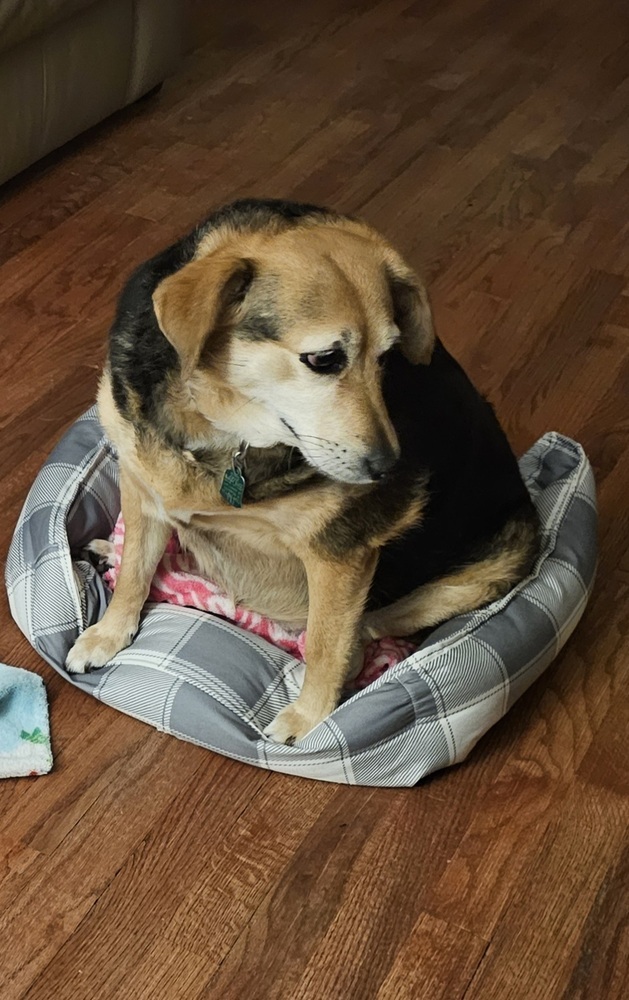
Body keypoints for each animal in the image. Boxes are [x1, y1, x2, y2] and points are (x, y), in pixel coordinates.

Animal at [67, 197, 540, 744]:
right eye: (325, 359)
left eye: (387, 357)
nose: (388, 469)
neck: (222, 430)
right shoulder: (144, 487)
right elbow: (135, 575)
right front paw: (107, 633)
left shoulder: (339, 554)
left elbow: (324, 644)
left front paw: (308, 719)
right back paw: (113, 551)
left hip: (496, 562)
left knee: (364, 631)